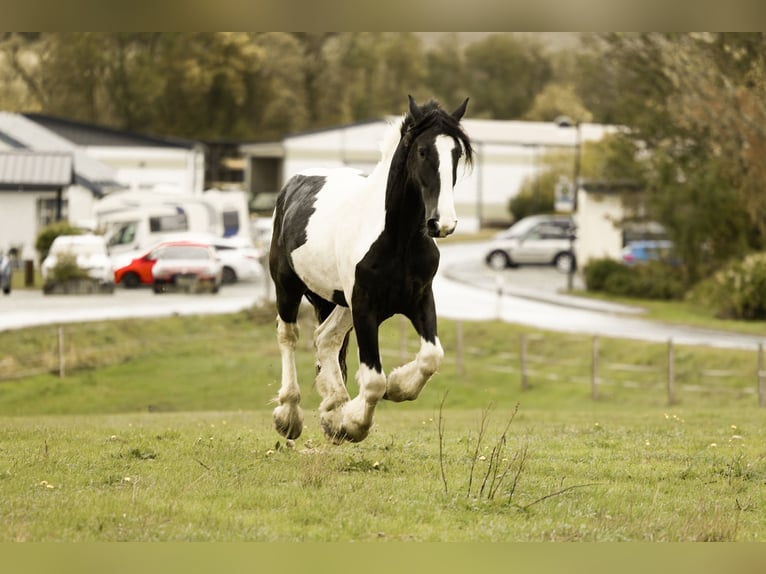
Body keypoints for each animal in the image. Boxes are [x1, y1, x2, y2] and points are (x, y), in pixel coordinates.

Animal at [269, 95, 473, 444]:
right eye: (422, 151)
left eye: (456, 153)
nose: (442, 223)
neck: (397, 238)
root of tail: (293, 184)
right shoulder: (365, 307)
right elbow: (375, 381)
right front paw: (353, 424)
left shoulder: (419, 299)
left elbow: (431, 357)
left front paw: (396, 388)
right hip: (288, 287)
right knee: (289, 337)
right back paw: (290, 416)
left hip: (340, 301)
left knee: (326, 338)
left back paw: (333, 407)